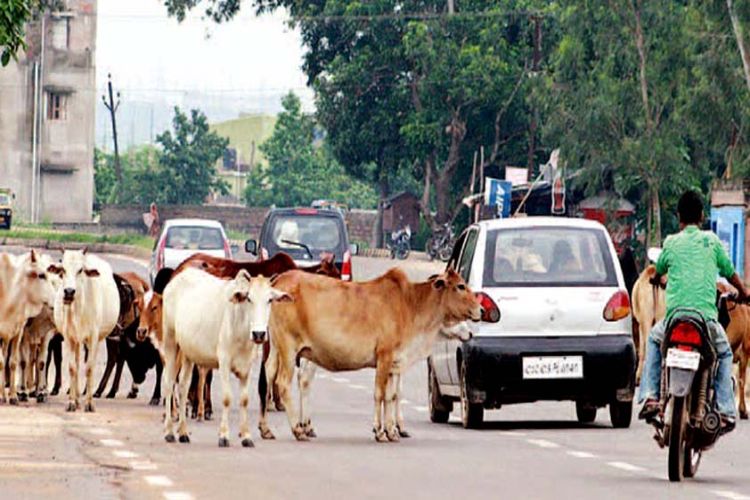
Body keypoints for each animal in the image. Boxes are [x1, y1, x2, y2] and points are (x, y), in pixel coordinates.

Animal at [0, 251, 56, 404]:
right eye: (41, 275)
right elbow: (9, 362)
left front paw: (14, 396)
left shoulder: (19, 332)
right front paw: (18, 393)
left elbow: (15, 362)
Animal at [48, 249, 120, 412]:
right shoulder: (69, 337)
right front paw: (71, 402)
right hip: (77, 341)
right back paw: (76, 399)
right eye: (62, 270)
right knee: (77, 362)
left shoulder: (93, 337)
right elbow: (72, 368)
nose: (69, 292)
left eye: (80, 270)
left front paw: (89, 403)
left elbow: (89, 368)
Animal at [160, 268, 291, 447]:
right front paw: (223, 435)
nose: (259, 334)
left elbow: (244, 399)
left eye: (270, 299)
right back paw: (169, 432)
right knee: (168, 383)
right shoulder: (224, 362)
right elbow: (227, 398)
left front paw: (246, 436)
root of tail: (177, 278)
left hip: (188, 353)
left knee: (183, 387)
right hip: (171, 342)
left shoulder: (247, 366)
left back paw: (183, 433)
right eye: (249, 298)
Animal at [259, 267, 481, 442]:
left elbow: (391, 396)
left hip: (277, 348)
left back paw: (266, 429)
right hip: (289, 348)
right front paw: (380, 431)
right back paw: (298, 429)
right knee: (283, 383)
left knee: (268, 375)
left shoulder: (393, 363)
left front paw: (392, 431)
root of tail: (279, 281)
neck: (410, 305)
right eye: (460, 286)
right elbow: (379, 394)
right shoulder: (384, 357)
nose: (480, 309)